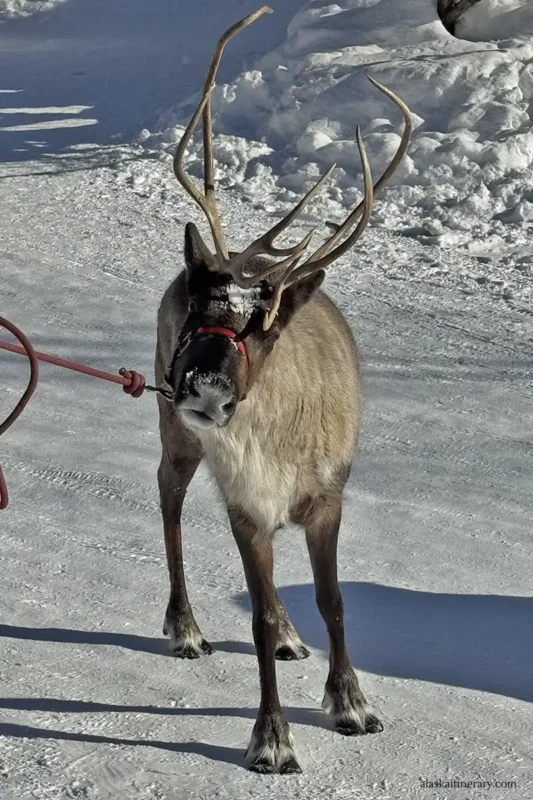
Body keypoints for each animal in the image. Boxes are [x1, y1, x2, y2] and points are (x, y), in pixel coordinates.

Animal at [155, 6, 412, 775]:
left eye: (263, 329)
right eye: (199, 308)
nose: (207, 393)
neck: (274, 450)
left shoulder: (325, 496)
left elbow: (331, 601)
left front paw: (352, 702)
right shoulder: (246, 502)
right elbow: (260, 611)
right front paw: (271, 738)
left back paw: (292, 638)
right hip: (174, 436)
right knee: (169, 501)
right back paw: (185, 627)